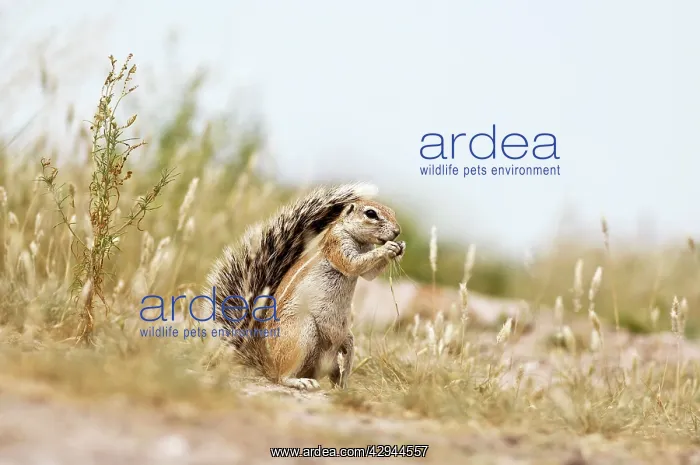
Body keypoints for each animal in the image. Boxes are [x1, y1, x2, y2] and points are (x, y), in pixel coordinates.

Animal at [203, 183, 405, 391]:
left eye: (392, 212)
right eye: (371, 213)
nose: (397, 231)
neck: (359, 240)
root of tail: (269, 364)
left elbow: (369, 274)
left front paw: (400, 247)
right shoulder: (337, 245)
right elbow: (353, 264)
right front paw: (389, 248)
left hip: (346, 340)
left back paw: (342, 387)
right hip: (302, 330)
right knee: (283, 377)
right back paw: (300, 381)